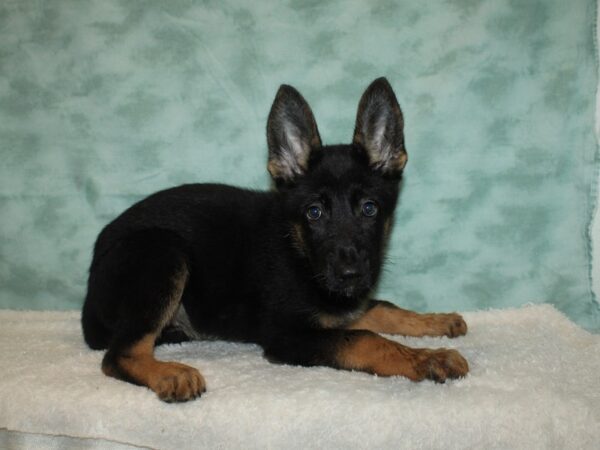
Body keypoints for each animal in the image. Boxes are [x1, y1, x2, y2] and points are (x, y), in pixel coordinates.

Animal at [82, 76, 472, 400]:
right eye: (314, 213)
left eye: (369, 209)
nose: (349, 276)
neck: (300, 254)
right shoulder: (288, 336)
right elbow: (366, 339)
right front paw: (428, 359)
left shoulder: (338, 311)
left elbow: (384, 309)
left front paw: (436, 322)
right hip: (163, 252)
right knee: (119, 355)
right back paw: (170, 374)